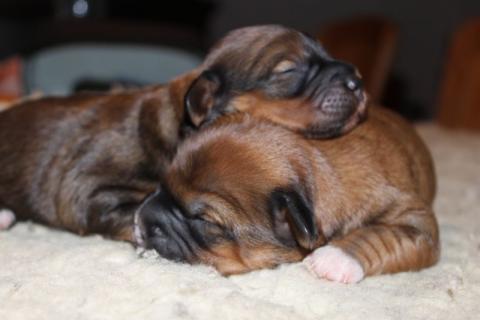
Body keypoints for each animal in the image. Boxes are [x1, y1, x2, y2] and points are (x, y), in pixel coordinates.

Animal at [135, 106, 438, 282]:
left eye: (205, 222)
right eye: (161, 186)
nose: (141, 219)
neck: (316, 166)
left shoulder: (415, 219)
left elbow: (382, 234)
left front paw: (334, 258)